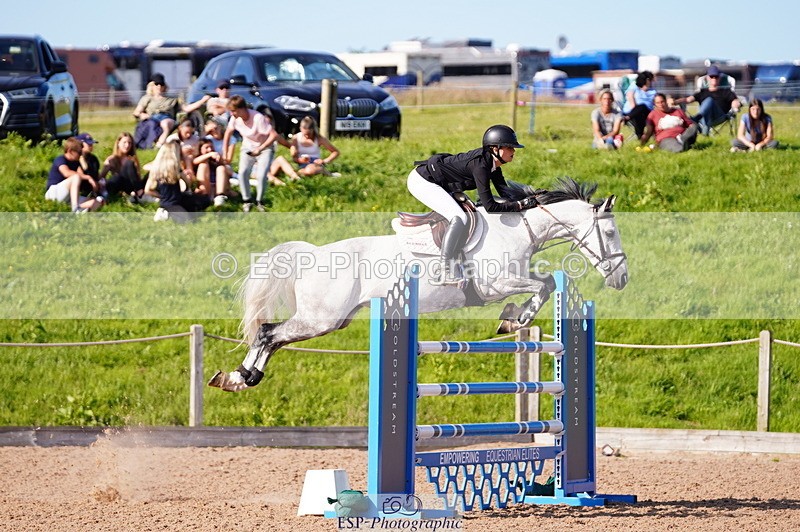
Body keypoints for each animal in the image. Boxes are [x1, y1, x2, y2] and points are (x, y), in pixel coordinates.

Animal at [209, 177, 628, 392]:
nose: (621, 278)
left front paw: (513, 318)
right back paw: (241, 377)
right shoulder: (497, 283)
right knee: (268, 333)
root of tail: (312, 253)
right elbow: (543, 285)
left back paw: (240, 377)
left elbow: (544, 285)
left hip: (331, 320)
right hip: (320, 319)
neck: (519, 227)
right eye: (610, 232)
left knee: (272, 337)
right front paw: (514, 318)